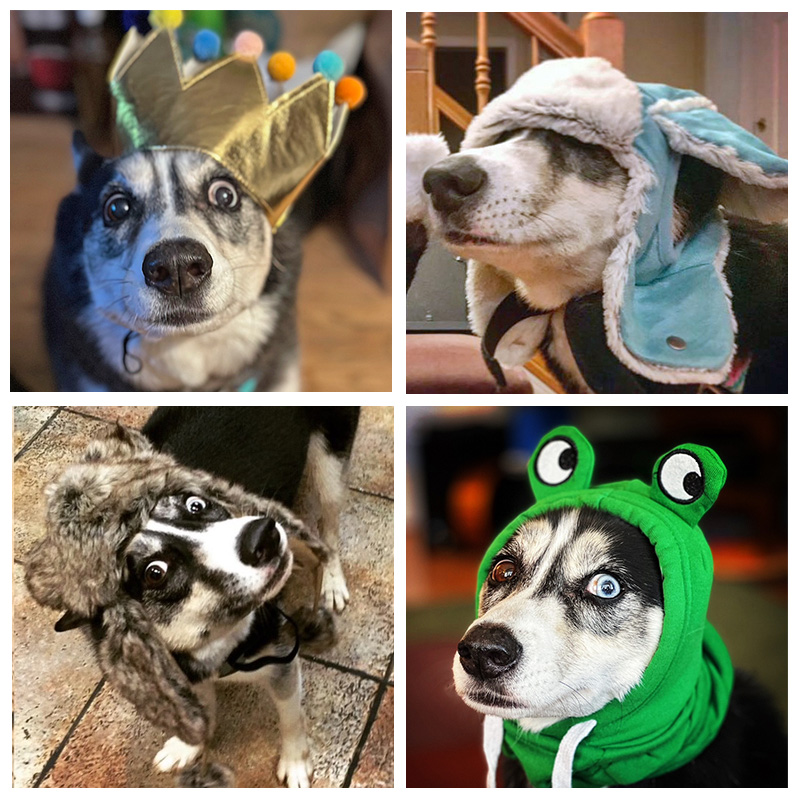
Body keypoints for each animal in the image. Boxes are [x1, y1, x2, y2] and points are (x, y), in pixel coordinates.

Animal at [23, 410, 360, 784]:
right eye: (155, 571)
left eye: (196, 504)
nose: (265, 533)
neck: (214, 638)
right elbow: (201, 710)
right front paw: (188, 747)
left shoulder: (281, 659)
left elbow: (291, 718)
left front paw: (296, 763)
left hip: (330, 462)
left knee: (329, 528)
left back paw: (331, 579)